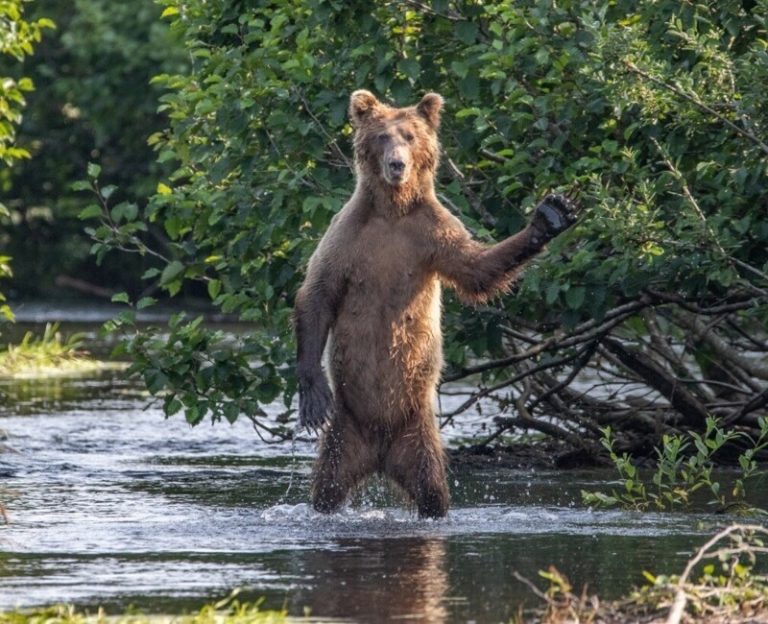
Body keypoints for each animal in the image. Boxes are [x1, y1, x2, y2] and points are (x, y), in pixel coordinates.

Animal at [296, 88, 576, 516]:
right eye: (382, 136)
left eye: (410, 136)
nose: (397, 164)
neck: (392, 211)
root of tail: (379, 453)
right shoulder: (347, 236)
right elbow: (318, 294)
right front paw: (313, 396)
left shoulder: (432, 233)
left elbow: (475, 268)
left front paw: (550, 215)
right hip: (346, 429)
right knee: (328, 486)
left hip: (418, 433)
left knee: (431, 489)